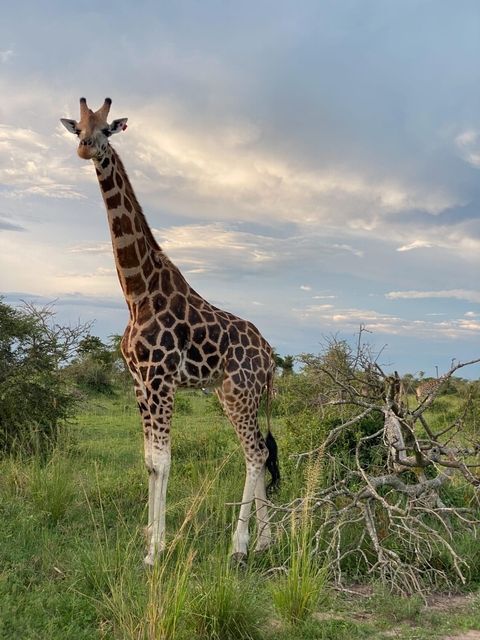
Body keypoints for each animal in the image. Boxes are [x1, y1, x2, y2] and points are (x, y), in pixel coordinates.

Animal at [61, 98, 280, 567]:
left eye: (107, 128)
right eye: (78, 129)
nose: (85, 148)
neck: (137, 291)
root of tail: (271, 357)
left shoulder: (161, 378)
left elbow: (162, 461)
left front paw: (154, 553)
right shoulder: (139, 381)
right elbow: (148, 460)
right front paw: (149, 540)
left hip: (240, 391)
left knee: (255, 452)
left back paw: (239, 547)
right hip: (231, 392)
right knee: (257, 449)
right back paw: (264, 542)